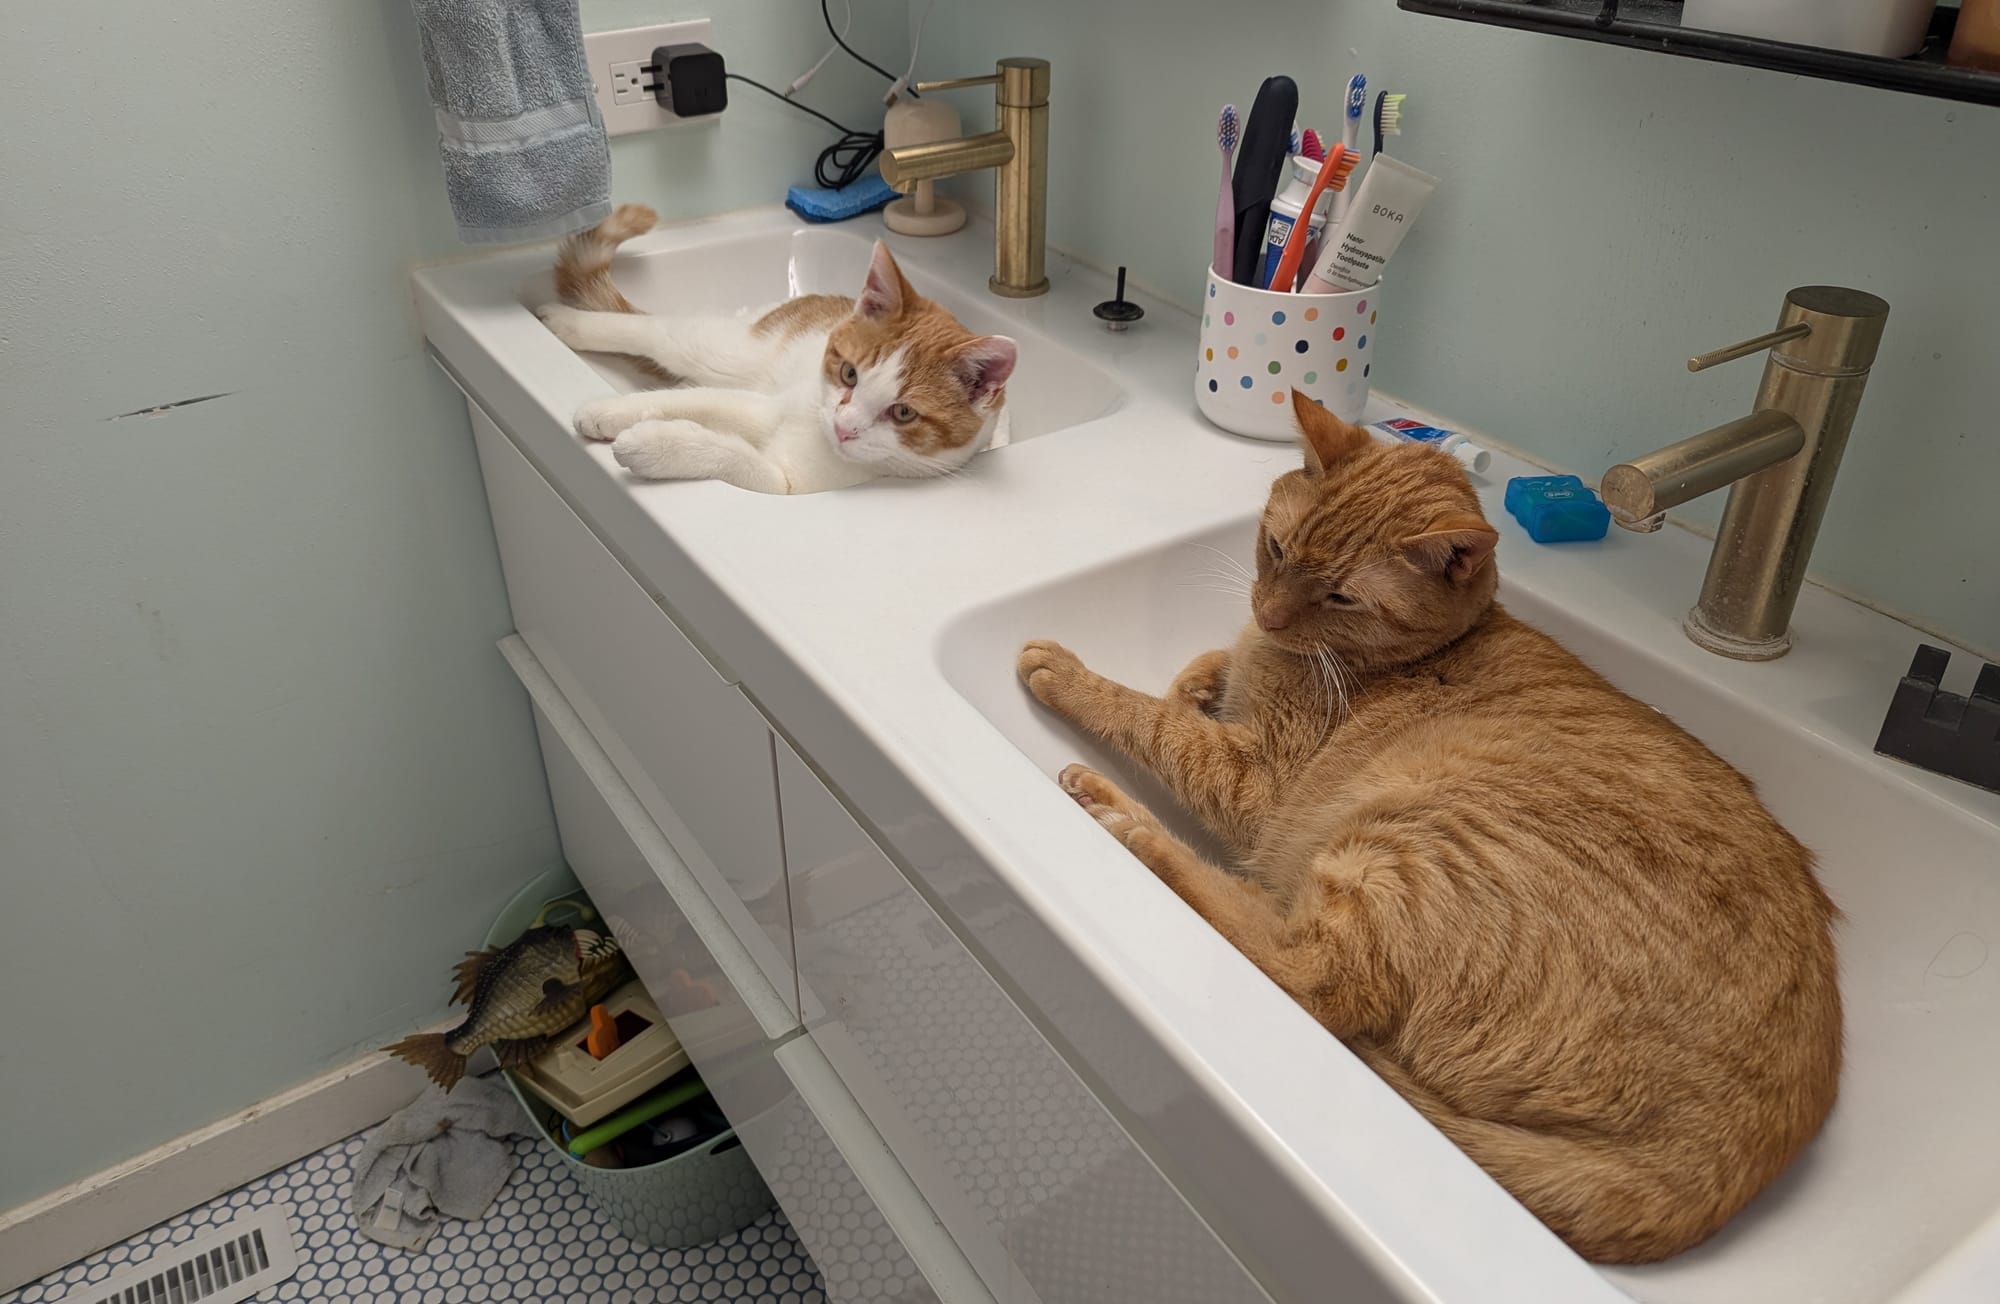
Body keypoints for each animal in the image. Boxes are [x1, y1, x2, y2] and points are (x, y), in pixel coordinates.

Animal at [536, 206, 1016, 496]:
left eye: (903, 413)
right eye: (849, 374)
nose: (843, 427)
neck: (822, 442)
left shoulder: (782, 482)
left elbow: (730, 455)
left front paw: (653, 443)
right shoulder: (764, 405)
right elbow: (692, 401)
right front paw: (609, 412)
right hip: (721, 350)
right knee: (655, 332)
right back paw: (566, 321)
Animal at [1016, 388, 1840, 1264]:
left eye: (1341, 596)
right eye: (1275, 546)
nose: (1265, 612)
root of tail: (1706, 1171)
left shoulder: (1254, 783)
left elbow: (1156, 724)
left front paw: (1079, 678)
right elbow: (1197, 680)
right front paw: (1202, 676)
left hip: (1399, 841)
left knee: (1310, 975)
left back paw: (1124, 819)